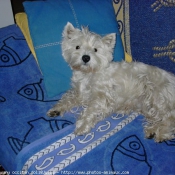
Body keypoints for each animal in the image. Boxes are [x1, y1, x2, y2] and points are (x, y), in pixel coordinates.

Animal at [47, 21, 175, 142]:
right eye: (77, 47)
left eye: (95, 50)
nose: (86, 57)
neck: (88, 74)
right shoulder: (80, 93)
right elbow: (68, 98)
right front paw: (56, 109)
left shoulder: (102, 97)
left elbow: (90, 110)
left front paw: (82, 126)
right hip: (147, 106)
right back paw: (153, 130)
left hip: (157, 96)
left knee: (170, 118)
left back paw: (160, 133)